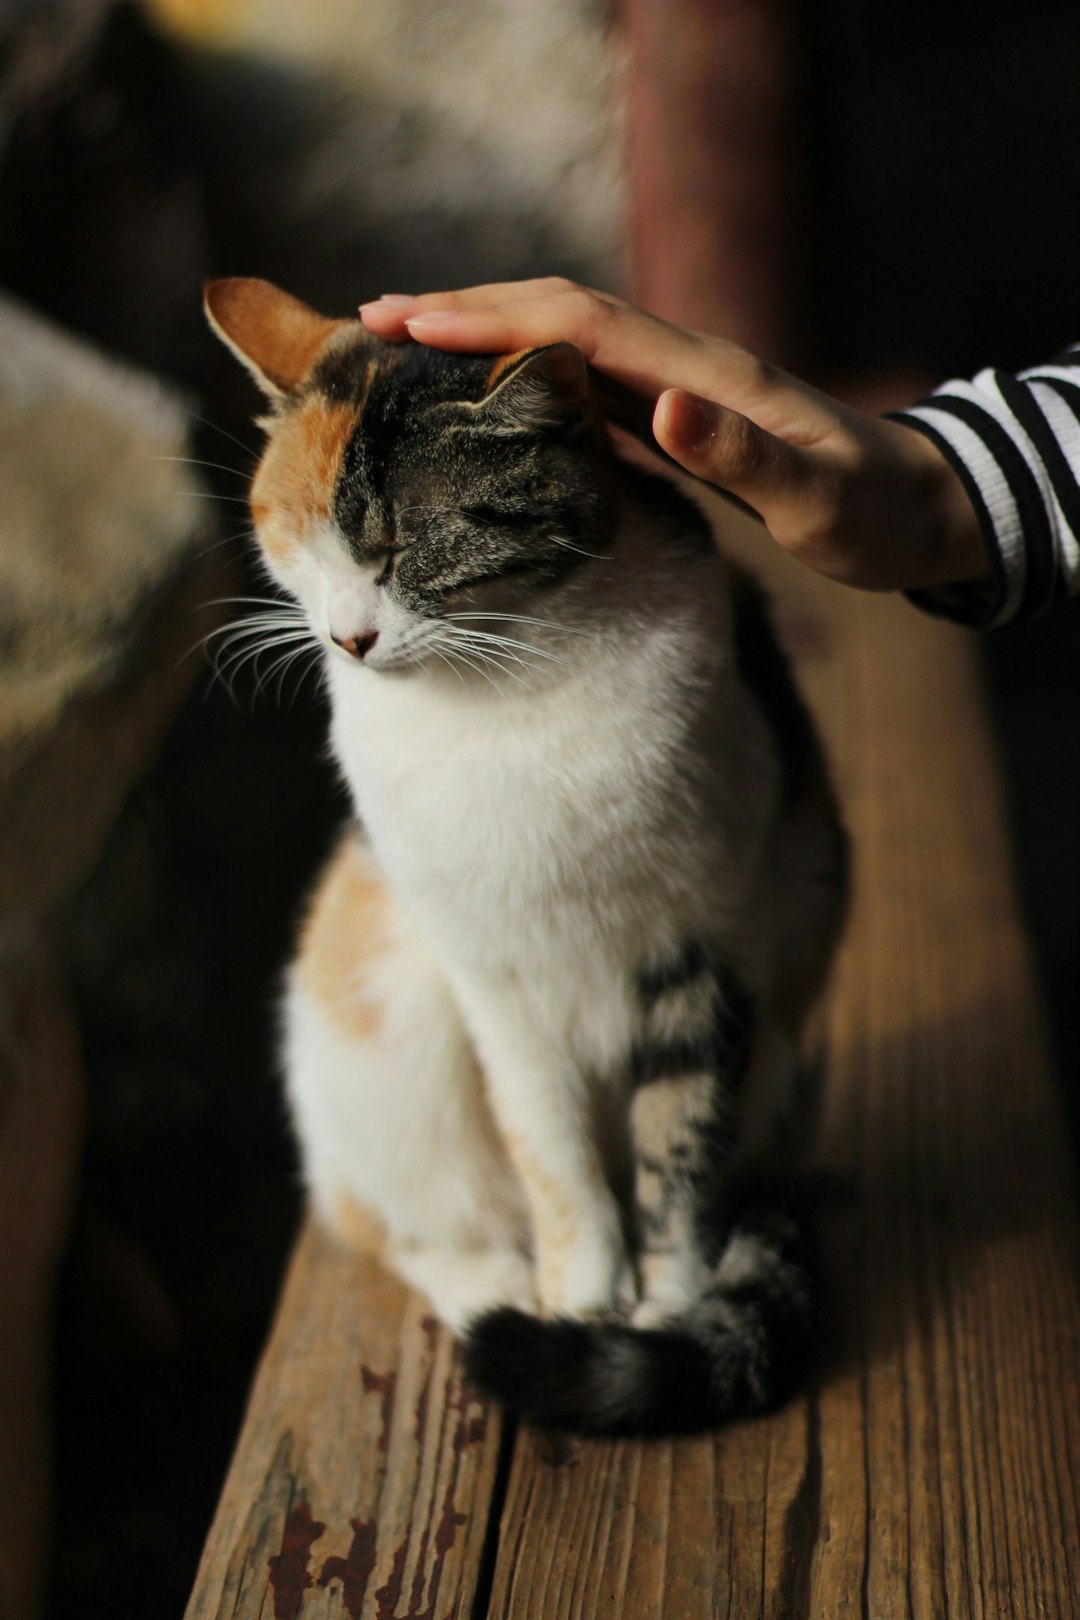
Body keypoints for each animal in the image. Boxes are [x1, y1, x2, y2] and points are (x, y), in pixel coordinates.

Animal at [204, 275, 841, 1432]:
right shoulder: (492, 977)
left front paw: (668, 1307)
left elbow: (684, 1143)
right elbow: (550, 1145)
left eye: (398, 553)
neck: (508, 685)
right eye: (303, 544)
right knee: (392, 1222)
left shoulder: (713, 946)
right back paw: (492, 1291)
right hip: (382, 1041)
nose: (347, 638)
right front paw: (582, 1295)